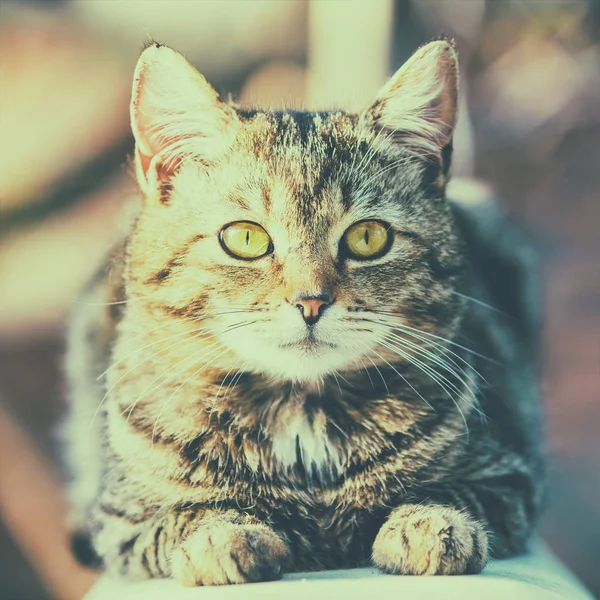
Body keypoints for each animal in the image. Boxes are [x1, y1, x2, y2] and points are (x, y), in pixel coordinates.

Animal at [64, 42, 544, 584]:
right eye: (245, 238)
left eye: (368, 238)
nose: (310, 301)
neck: (302, 415)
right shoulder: (121, 522)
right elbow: (187, 515)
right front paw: (225, 536)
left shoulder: (510, 475)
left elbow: (450, 493)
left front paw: (430, 525)